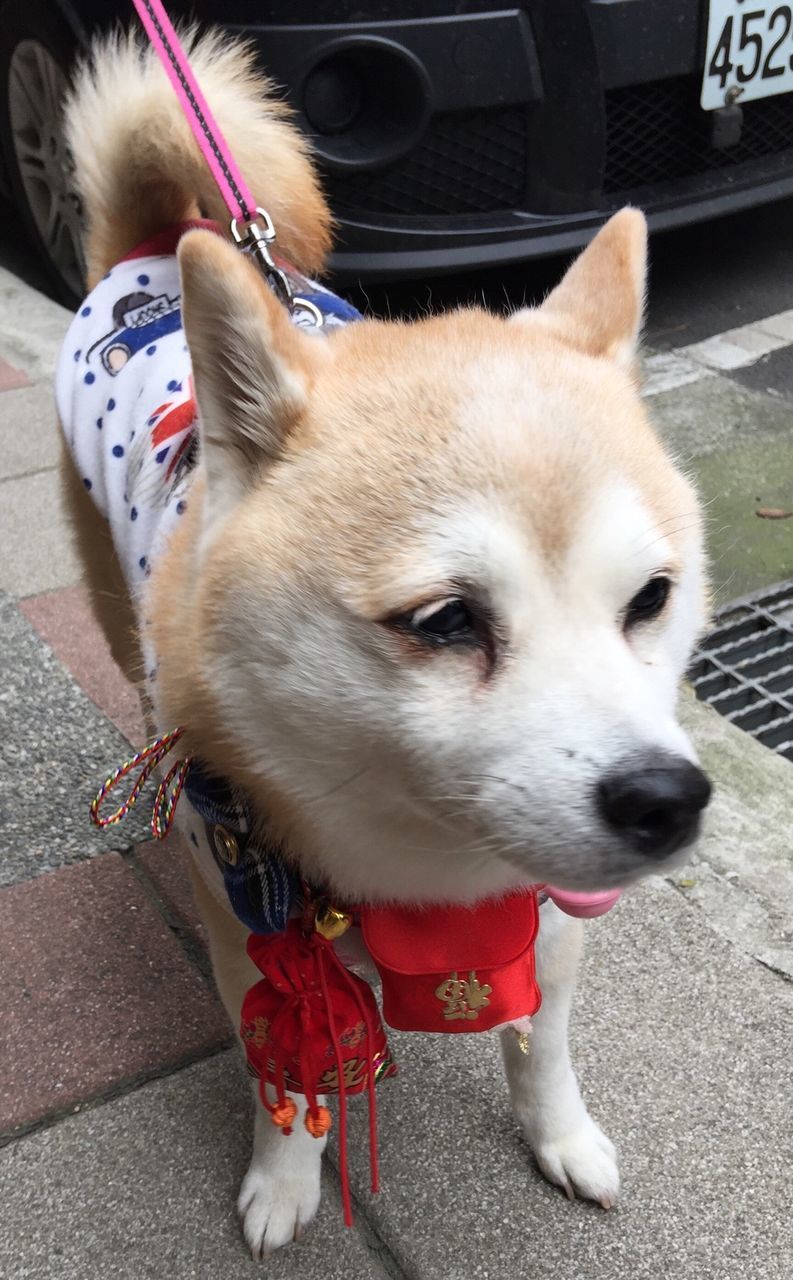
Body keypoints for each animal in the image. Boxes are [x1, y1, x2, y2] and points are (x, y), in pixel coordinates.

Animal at [57, 24, 711, 1254]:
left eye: (650, 597)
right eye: (445, 621)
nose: (667, 798)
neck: (421, 875)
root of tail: (152, 253)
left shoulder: (547, 915)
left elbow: (542, 1043)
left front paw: (562, 1136)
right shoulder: (250, 921)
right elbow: (286, 1071)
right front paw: (284, 1182)